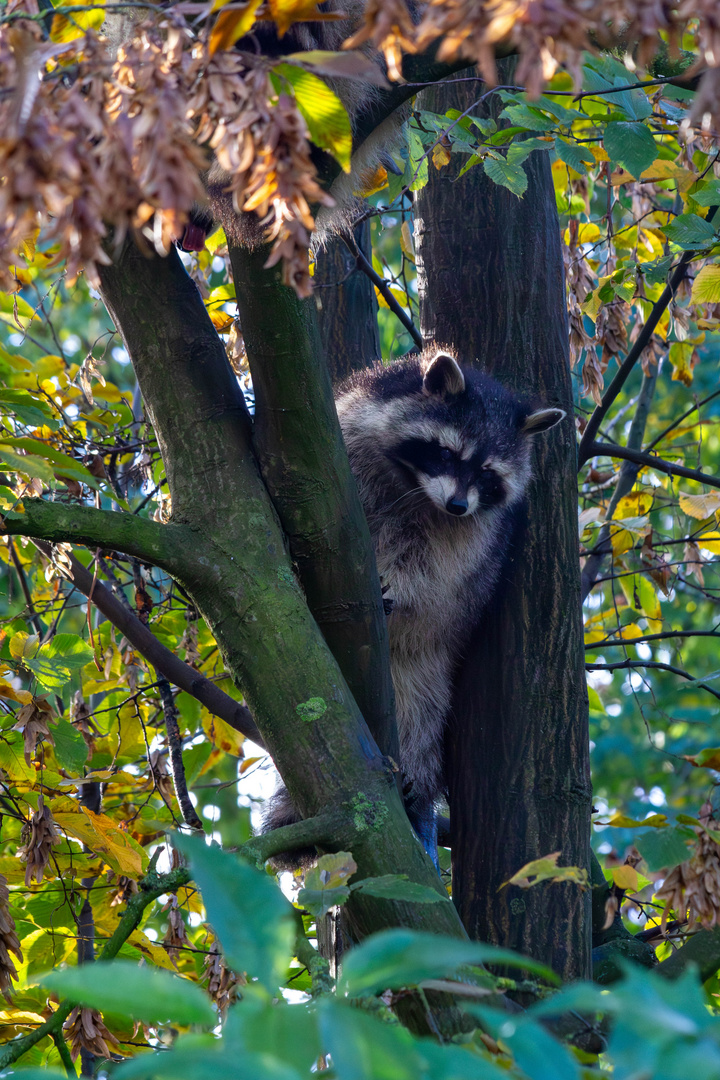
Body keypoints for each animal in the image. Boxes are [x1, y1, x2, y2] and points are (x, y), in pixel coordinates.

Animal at [267, 347, 565, 868]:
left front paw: (403, 590)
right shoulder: (346, 435)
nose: (458, 505)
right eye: (446, 453)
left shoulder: (474, 537)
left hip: (423, 667)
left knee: (419, 712)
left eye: (487, 474)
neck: (414, 485)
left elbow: (437, 573)